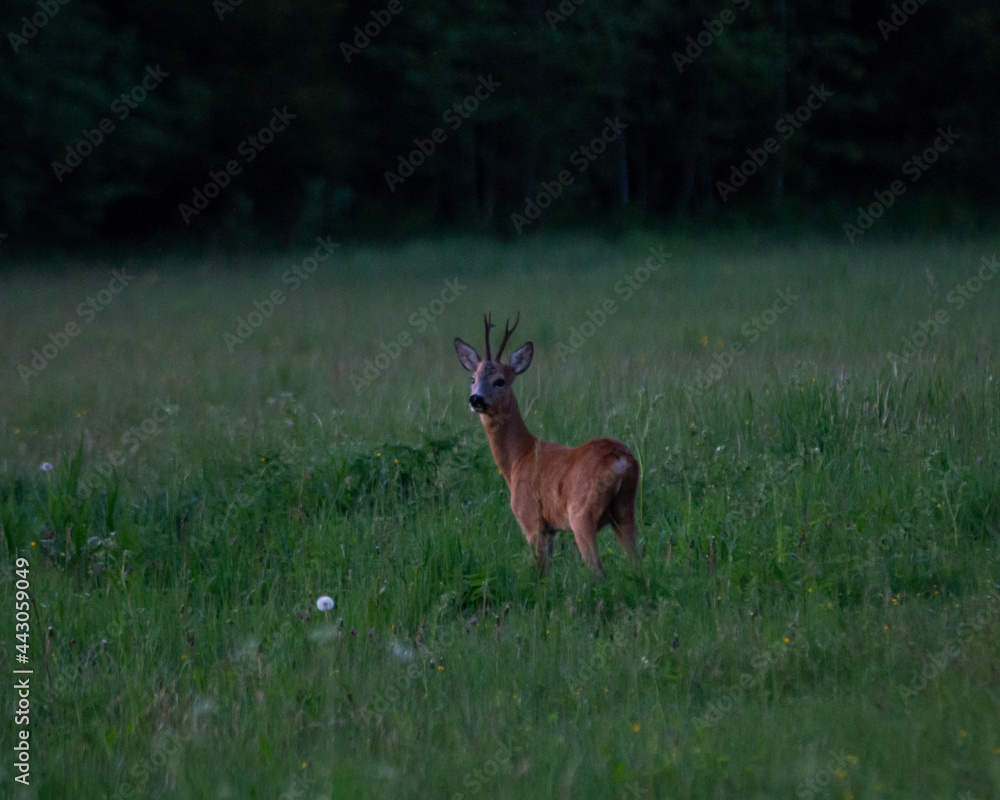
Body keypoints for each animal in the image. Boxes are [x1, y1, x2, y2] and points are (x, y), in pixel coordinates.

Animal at [454, 313, 639, 574]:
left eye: (500, 381)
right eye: (473, 378)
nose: (475, 399)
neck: (519, 457)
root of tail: (621, 459)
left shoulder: (532, 520)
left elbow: (540, 572)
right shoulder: (551, 529)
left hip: (581, 514)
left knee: (597, 568)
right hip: (626, 510)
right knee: (637, 563)